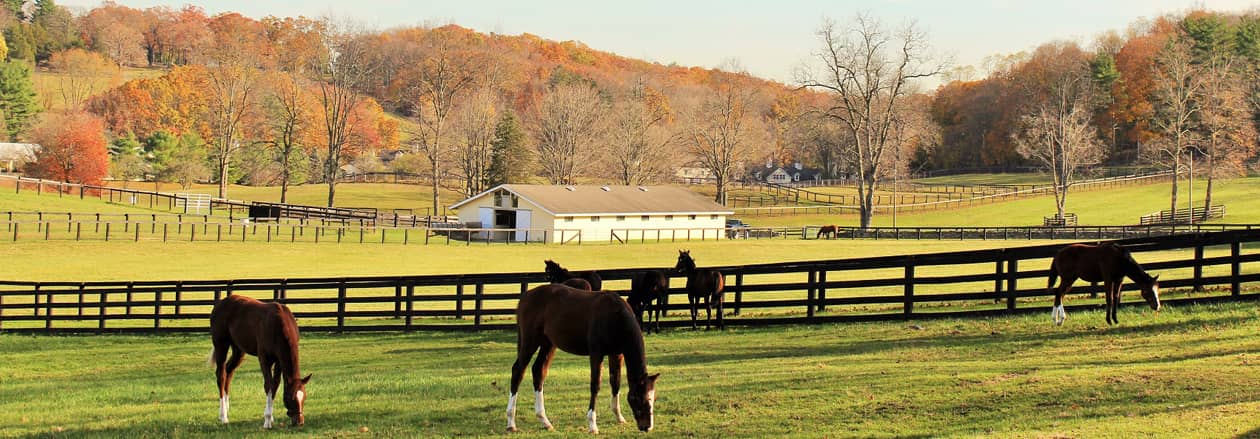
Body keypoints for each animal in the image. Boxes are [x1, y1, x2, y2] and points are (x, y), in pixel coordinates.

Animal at [210, 292, 311, 426]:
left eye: (304, 397)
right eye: (291, 397)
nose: (299, 422)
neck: (278, 325)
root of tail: (220, 304)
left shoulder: (279, 360)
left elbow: (276, 384)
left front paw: (271, 416)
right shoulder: (264, 359)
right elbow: (268, 384)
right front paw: (267, 420)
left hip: (238, 350)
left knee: (229, 371)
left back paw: (226, 408)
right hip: (221, 345)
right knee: (221, 375)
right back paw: (223, 416)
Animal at [504, 285, 660, 431]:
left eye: (653, 399)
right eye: (639, 398)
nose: (647, 427)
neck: (615, 316)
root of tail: (525, 297)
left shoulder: (616, 354)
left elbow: (615, 382)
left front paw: (619, 417)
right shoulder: (596, 354)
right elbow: (595, 385)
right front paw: (592, 425)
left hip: (548, 344)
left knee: (538, 371)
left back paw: (545, 421)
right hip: (530, 342)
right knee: (518, 371)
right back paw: (511, 423)